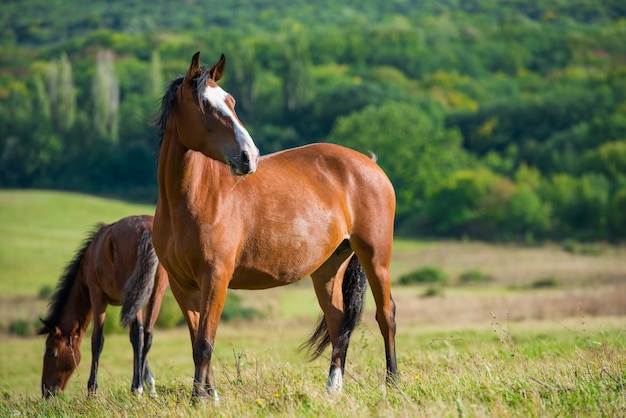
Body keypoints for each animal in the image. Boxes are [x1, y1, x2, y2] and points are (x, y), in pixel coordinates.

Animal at [38, 216, 167, 398]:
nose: (46, 391)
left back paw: (136, 388)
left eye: (51, 352)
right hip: (155, 294)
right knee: (147, 334)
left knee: (139, 333)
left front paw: (92, 389)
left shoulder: (98, 298)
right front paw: (150, 385)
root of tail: (148, 230)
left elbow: (97, 341)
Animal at [151, 52, 394, 402]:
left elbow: (205, 343)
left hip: (376, 258)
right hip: (328, 268)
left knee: (386, 315)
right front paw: (208, 396)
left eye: (231, 101)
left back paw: (393, 382)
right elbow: (198, 341)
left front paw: (200, 400)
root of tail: (369, 164)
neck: (190, 200)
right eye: (205, 104)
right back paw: (332, 389)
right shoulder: (183, 285)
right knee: (339, 324)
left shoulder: (216, 278)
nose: (248, 157)